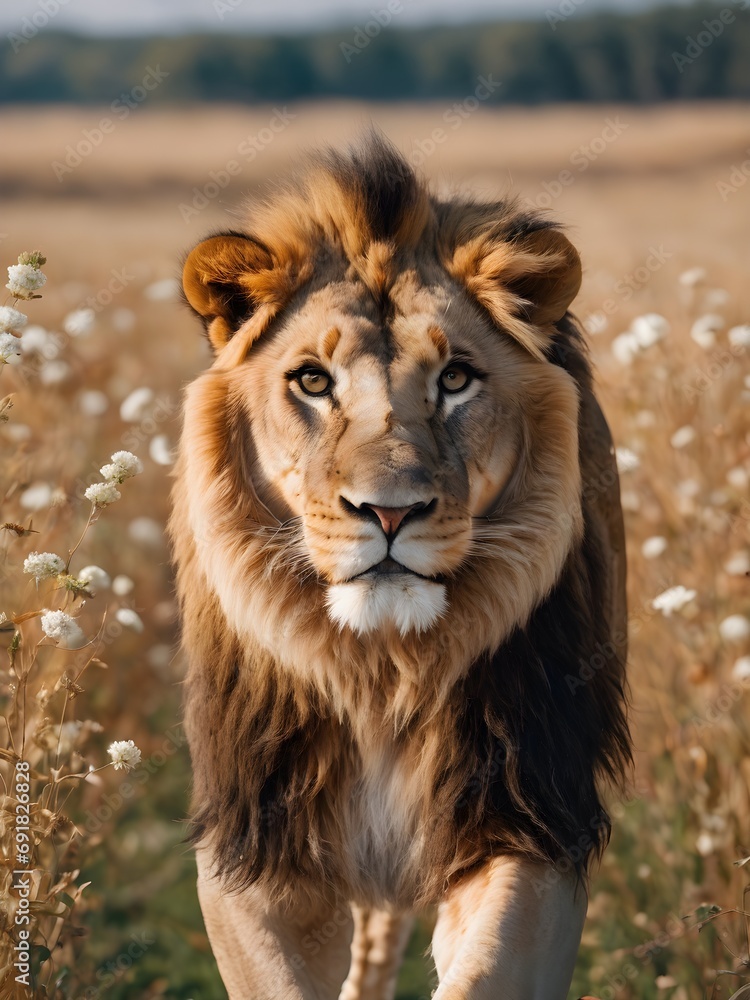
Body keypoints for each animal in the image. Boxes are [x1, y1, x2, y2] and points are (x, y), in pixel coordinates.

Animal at [169, 131, 630, 1000]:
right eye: (312, 380)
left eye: (455, 379)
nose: (388, 513)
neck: (380, 668)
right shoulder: (257, 841)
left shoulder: (530, 820)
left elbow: (485, 972)